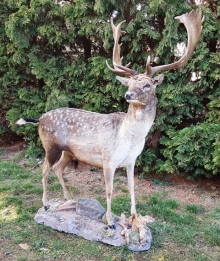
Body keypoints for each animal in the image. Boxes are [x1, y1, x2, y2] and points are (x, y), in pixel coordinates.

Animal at [16, 9, 204, 226]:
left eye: (147, 85)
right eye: (129, 83)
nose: (128, 95)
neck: (128, 137)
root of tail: (40, 118)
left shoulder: (132, 160)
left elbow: (132, 188)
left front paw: (133, 217)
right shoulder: (108, 159)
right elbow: (109, 190)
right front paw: (110, 221)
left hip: (69, 151)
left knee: (58, 169)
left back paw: (67, 199)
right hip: (50, 145)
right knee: (45, 168)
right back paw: (46, 204)